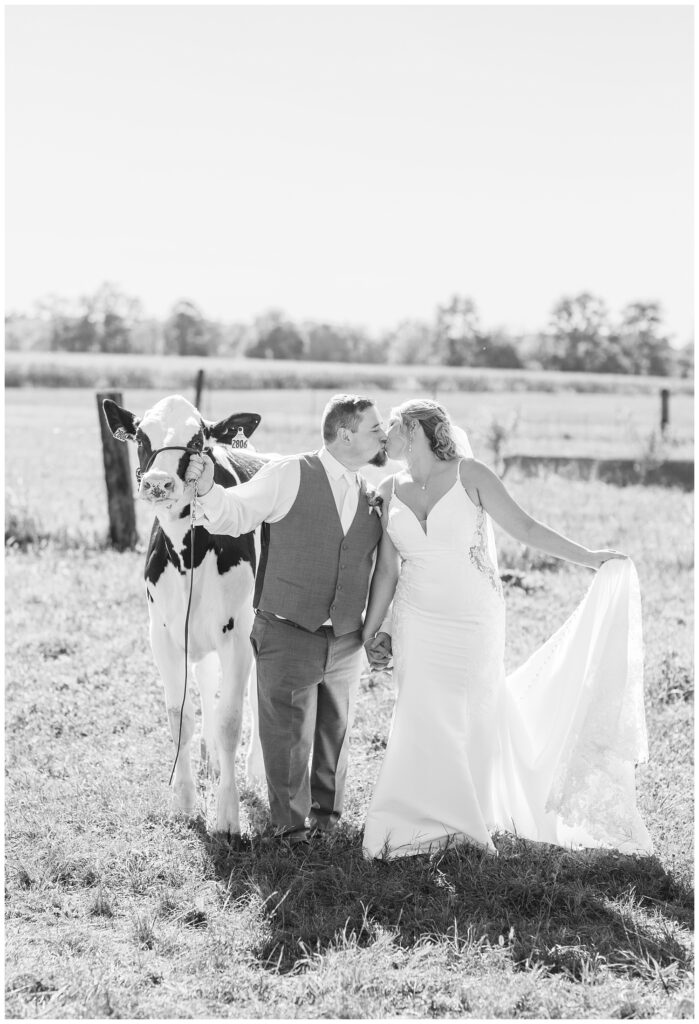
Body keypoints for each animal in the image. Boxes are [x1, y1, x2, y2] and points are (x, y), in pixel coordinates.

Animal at [103, 393, 268, 839]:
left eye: (197, 440)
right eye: (142, 436)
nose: (158, 483)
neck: (188, 552)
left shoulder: (238, 635)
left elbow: (231, 720)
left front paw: (227, 816)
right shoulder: (163, 635)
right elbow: (180, 715)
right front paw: (184, 801)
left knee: (256, 698)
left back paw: (255, 771)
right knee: (208, 684)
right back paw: (211, 764)